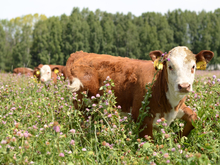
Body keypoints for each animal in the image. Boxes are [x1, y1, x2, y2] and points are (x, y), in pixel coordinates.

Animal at [65, 46, 213, 139]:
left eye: (193, 66)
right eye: (170, 66)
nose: (184, 86)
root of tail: (79, 54)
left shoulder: (178, 107)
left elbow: (193, 118)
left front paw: (178, 139)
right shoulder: (141, 116)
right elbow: (150, 142)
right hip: (82, 106)